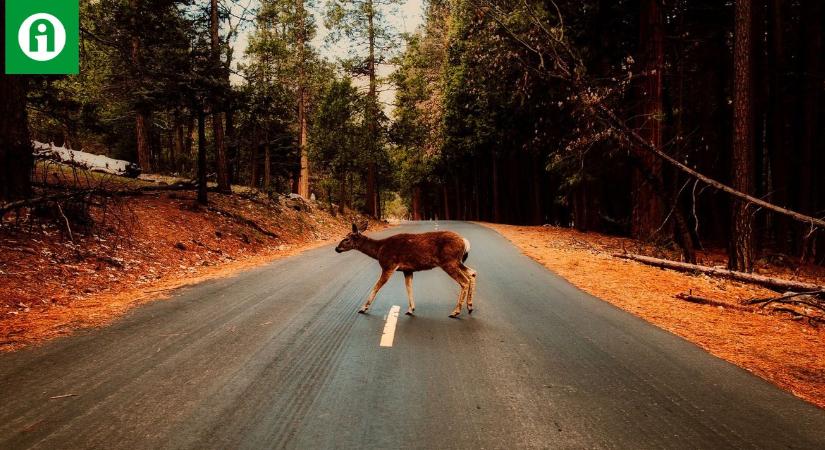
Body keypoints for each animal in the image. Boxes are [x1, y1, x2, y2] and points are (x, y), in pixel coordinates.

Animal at [334, 223, 476, 318]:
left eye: (346, 239)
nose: (337, 248)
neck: (379, 250)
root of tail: (465, 241)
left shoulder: (389, 265)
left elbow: (376, 286)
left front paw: (363, 308)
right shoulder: (407, 270)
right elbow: (409, 287)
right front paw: (411, 309)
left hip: (449, 261)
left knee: (464, 281)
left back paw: (455, 312)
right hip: (457, 261)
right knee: (472, 273)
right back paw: (469, 307)